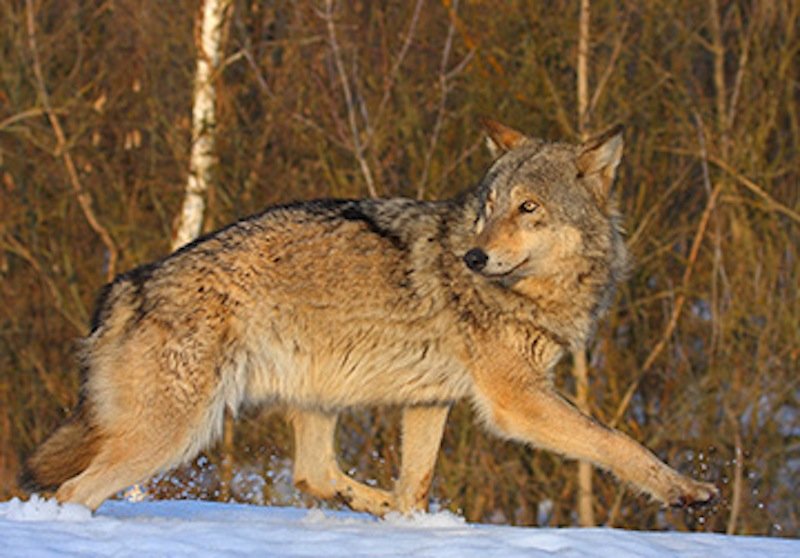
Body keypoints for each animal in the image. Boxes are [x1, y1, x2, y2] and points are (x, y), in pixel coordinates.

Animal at [23, 121, 720, 516]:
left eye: (528, 208)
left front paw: (412, 521)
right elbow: (616, 442)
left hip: (314, 399)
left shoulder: (429, 402)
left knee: (314, 474)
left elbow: (418, 480)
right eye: (490, 207)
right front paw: (685, 490)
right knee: (72, 493)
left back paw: (383, 509)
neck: (534, 292)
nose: (474, 256)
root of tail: (127, 285)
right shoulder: (517, 399)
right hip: (176, 434)